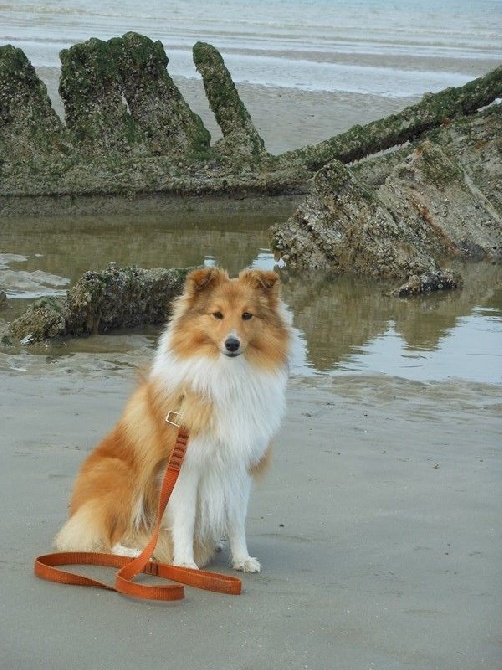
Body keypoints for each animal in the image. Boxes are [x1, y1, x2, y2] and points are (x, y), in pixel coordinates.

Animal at [54, 266, 290, 572]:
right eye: (217, 314)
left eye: (247, 315)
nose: (232, 343)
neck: (227, 375)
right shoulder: (186, 466)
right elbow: (186, 519)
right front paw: (185, 563)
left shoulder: (240, 466)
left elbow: (236, 521)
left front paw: (242, 559)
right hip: (122, 477)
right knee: (105, 538)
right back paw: (137, 555)